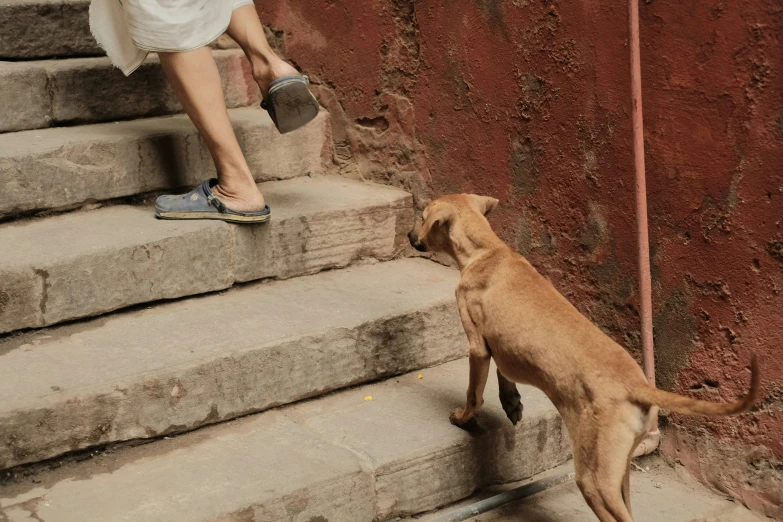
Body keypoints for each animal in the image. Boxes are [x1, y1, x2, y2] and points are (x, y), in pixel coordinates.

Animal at [408, 193, 764, 516]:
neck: (486, 250)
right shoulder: (502, 346)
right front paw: (512, 403)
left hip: (595, 480)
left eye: (422, 216)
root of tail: (639, 386)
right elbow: (504, 371)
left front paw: (463, 418)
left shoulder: (477, 345)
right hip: (619, 471)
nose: (410, 236)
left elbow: (474, 393)